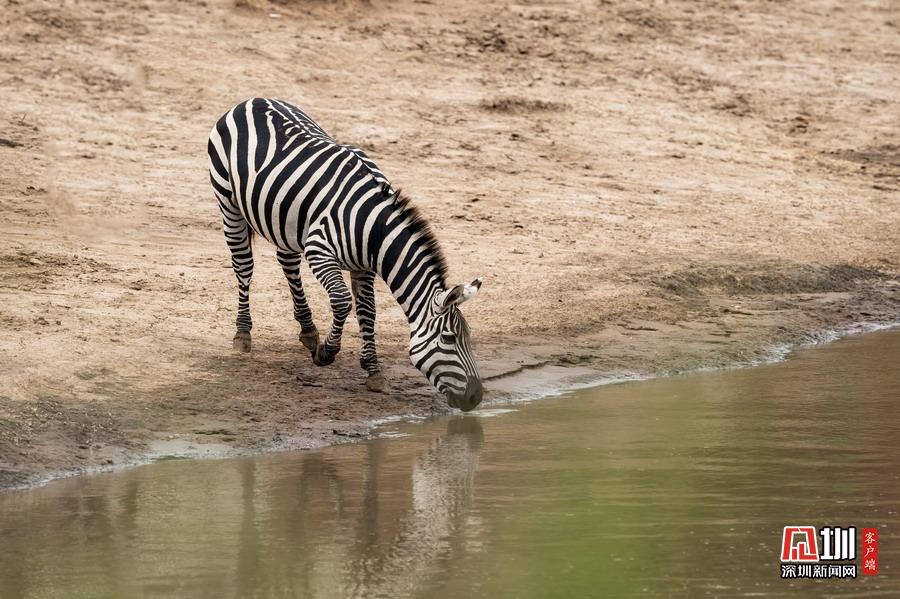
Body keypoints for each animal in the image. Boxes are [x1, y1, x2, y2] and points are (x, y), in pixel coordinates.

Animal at [207, 98, 484, 411]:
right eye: (449, 339)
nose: (476, 397)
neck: (374, 230)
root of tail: (253, 100)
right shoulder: (319, 251)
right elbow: (342, 302)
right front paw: (326, 352)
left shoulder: (363, 266)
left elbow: (368, 311)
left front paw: (373, 370)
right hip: (227, 201)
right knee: (244, 266)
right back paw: (243, 333)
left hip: (286, 219)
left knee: (287, 262)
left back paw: (308, 330)